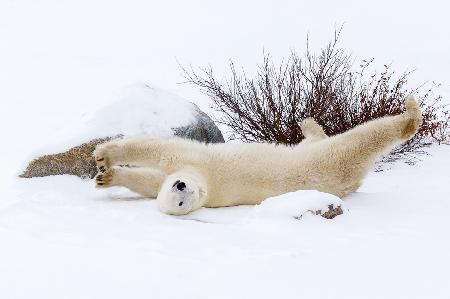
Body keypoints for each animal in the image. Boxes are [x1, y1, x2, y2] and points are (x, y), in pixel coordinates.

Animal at [94, 97, 422, 217]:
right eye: (180, 202)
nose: (181, 186)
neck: (208, 187)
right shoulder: (197, 173)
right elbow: (152, 181)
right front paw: (107, 176)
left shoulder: (199, 163)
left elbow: (162, 151)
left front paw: (103, 158)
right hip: (330, 163)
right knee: (351, 143)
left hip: (328, 160)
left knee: (360, 138)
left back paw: (410, 114)